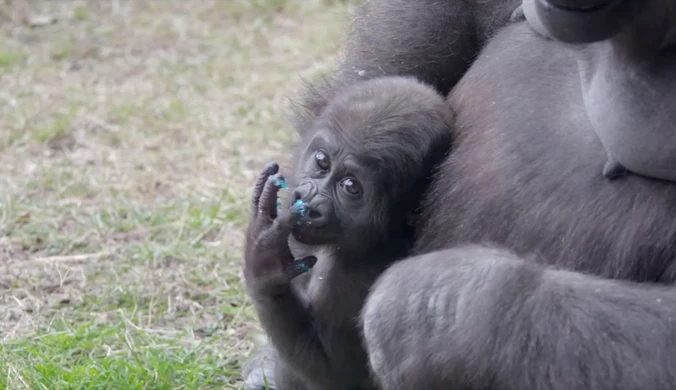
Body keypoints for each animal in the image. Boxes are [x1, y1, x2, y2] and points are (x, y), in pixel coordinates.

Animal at [243, 77, 454, 390]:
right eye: (321, 161)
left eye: (351, 186)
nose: (308, 202)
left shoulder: (348, 275)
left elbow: (337, 374)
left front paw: (265, 266)